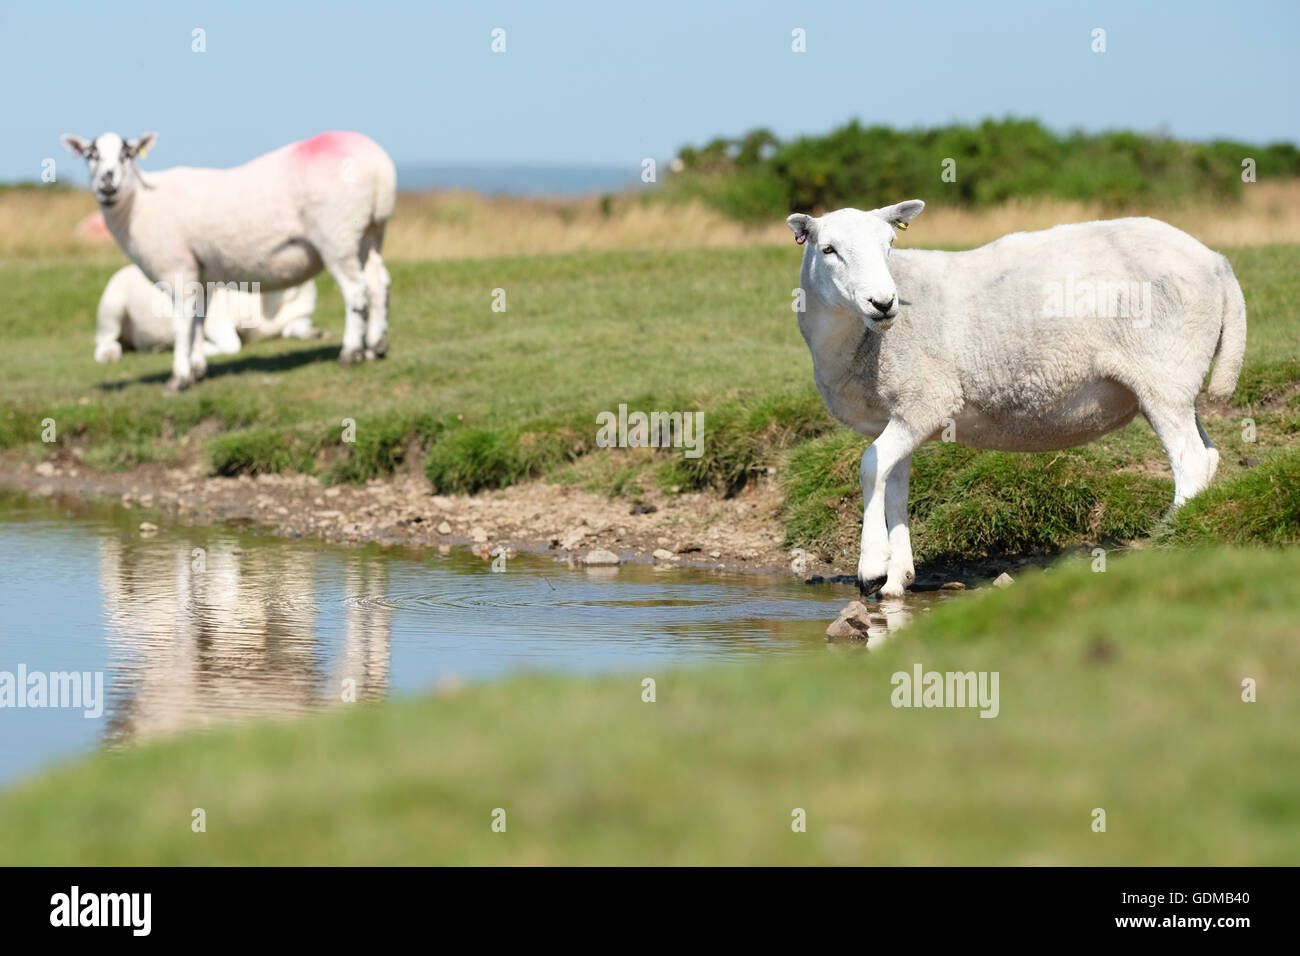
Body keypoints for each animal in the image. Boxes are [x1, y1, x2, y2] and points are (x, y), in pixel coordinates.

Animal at [93, 261, 319, 361]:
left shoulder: (295, 319)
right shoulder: (215, 321)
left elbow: (297, 328)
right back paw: (110, 354)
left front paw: (314, 333)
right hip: (111, 309)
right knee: (103, 342)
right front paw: (202, 348)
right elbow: (232, 345)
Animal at [785, 204, 1242, 598]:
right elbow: (892, 481)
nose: (883, 303)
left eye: (890, 245)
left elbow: (868, 467)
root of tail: (1216, 261)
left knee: (1190, 461)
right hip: (1179, 380)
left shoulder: (927, 399)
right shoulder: (899, 414)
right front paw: (897, 580)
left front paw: (872, 567)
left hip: (1164, 369)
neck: (857, 340)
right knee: (1208, 455)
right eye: (828, 250)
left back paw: (1167, 540)